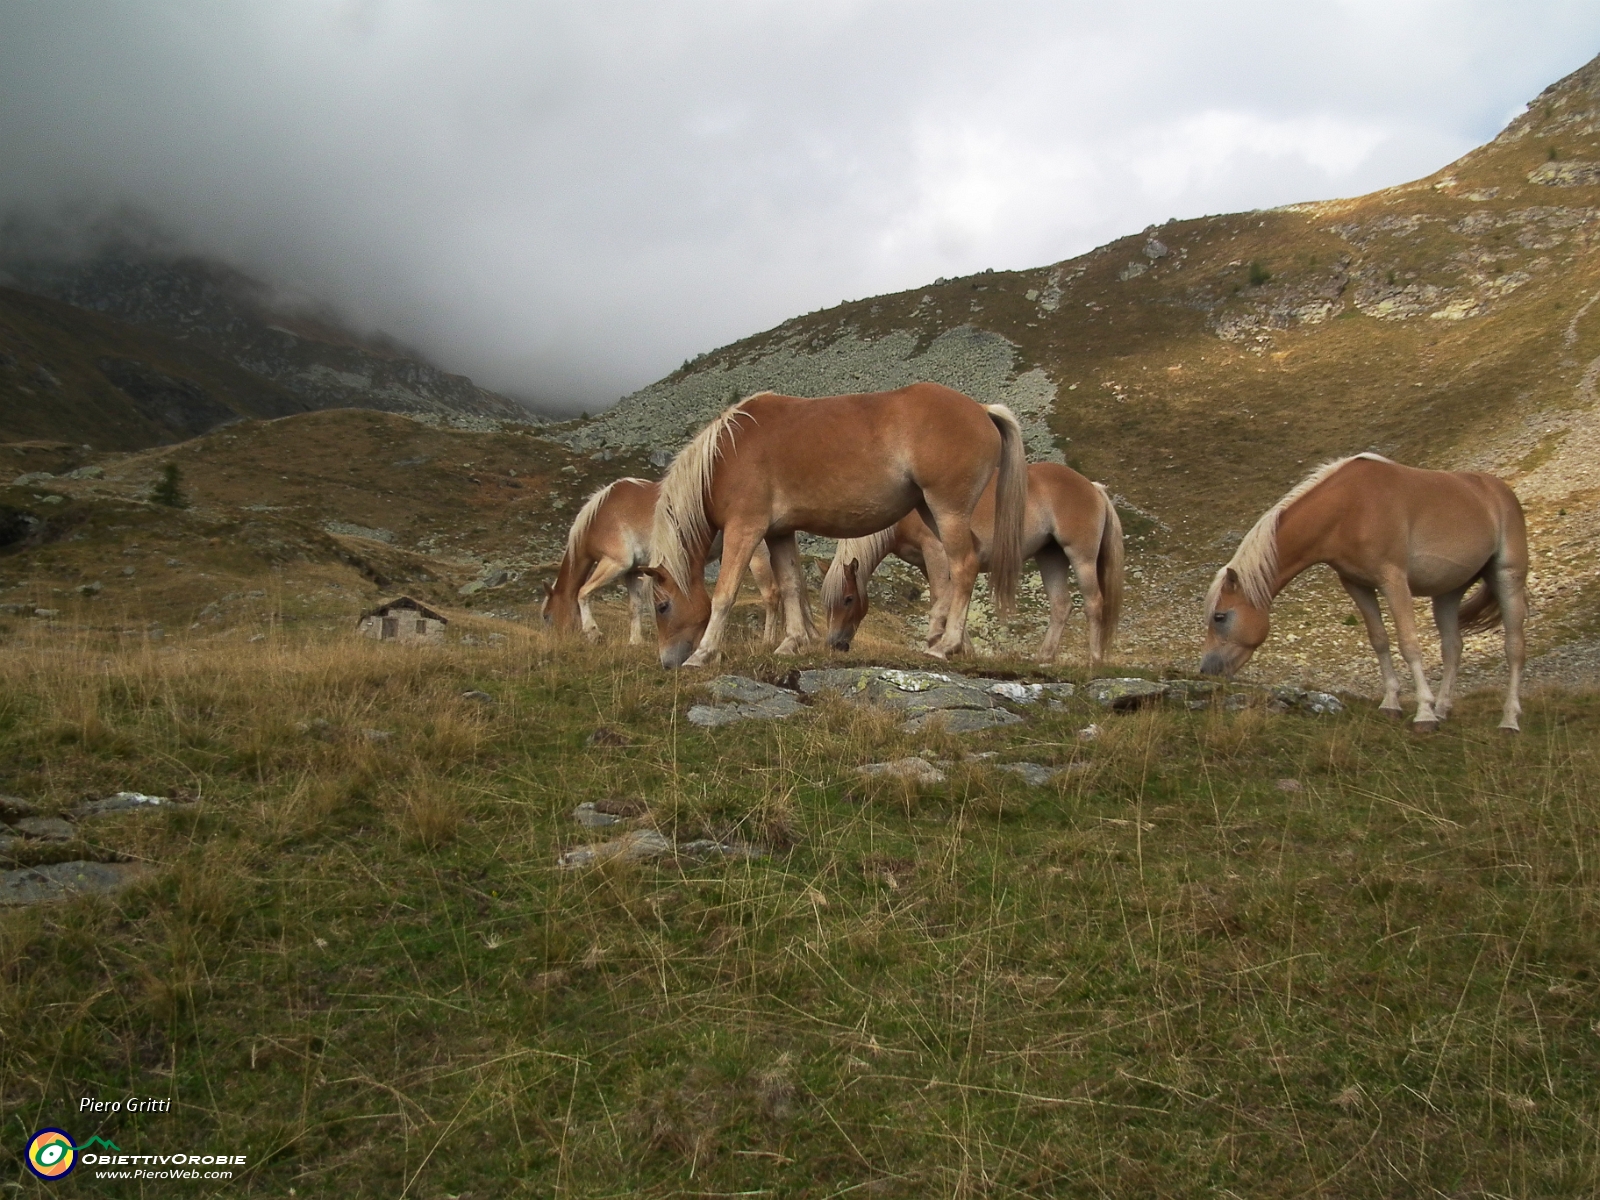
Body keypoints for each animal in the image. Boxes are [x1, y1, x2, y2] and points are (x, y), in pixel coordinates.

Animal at [544, 476, 780, 649]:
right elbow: (634, 607)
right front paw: (635, 641)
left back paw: (768, 641)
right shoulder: (632, 572)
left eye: (547, 616)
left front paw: (593, 633)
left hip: (755, 555)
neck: (601, 516)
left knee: (770, 595)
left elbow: (583, 592)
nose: (555, 641)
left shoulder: (615, 564)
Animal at [643, 382, 1030, 668]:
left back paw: (944, 645)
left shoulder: (745, 529)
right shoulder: (779, 533)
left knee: (963, 567)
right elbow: (791, 586)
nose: (666, 662)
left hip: (948, 511)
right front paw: (791, 643)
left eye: (662, 606)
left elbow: (725, 594)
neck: (724, 456)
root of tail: (982, 409)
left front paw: (702, 654)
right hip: (932, 515)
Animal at [825, 460, 1126, 668]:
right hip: (1050, 557)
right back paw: (1043, 657)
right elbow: (951, 598)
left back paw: (1094, 659)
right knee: (1061, 605)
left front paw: (942, 643)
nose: (835, 645)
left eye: (848, 599)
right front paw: (960, 648)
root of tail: (1093, 487)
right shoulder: (926, 562)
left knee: (1094, 603)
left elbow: (942, 596)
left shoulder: (935, 552)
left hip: (1081, 557)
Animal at [1203, 454, 1523, 729]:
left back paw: (1508, 720)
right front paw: (1392, 704)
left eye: (1220, 617)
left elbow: (1409, 643)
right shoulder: (1357, 585)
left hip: (1507, 577)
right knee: (1453, 647)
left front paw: (1423, 714)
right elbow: (1379, 640)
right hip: (1449, 591)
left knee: (1514, 647)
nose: (1206, 670)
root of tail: (1499, 490)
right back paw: (1443, 709)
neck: (1350, 508)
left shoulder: (1393, 581)